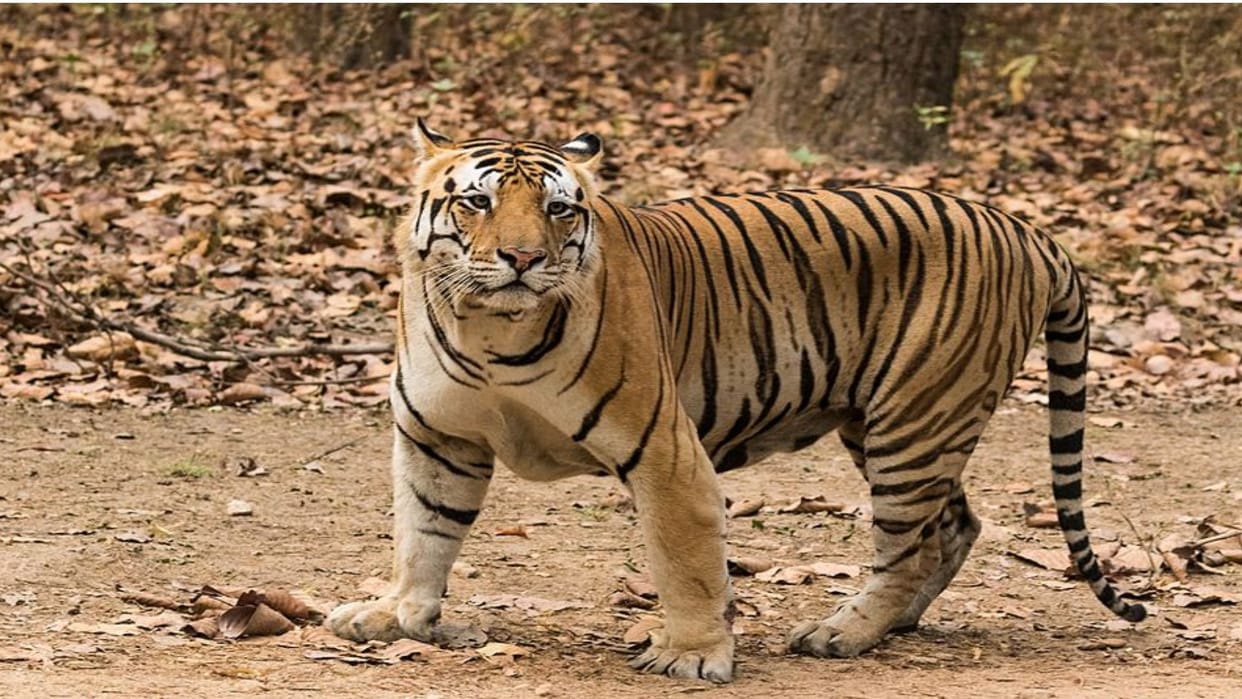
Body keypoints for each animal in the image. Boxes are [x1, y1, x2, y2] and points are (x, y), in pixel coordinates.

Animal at [326, 120, 1146, 683]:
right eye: (476, 201)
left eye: (559, 211)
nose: (523, 259)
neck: (489, 328)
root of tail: (1028, 229)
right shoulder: (438, 438)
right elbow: (424, 533)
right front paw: (397, 614)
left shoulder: (664, 449)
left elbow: (686, 559)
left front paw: (691, 655)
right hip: (888, 422)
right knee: (954, 526)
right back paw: (893, 625)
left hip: (916, 420)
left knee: (909, 544)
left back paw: (842, 632)